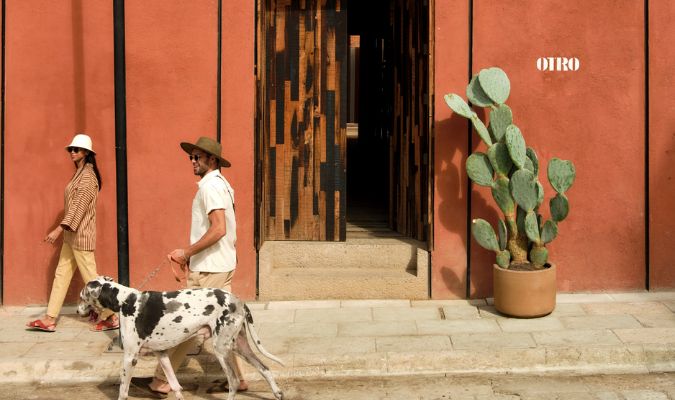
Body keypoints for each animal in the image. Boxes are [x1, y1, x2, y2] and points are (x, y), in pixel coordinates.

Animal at [79, 276, 286, 400]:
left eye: (82, 297)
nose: (78, 311)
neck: (125, 301)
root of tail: (240, 301)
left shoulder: (130, 358)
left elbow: (123, 390)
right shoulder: (162, 355)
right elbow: (174, 384)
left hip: (221, 349)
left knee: (234, 382)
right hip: (239, 346)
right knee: (265, 368)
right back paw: (277, 392)